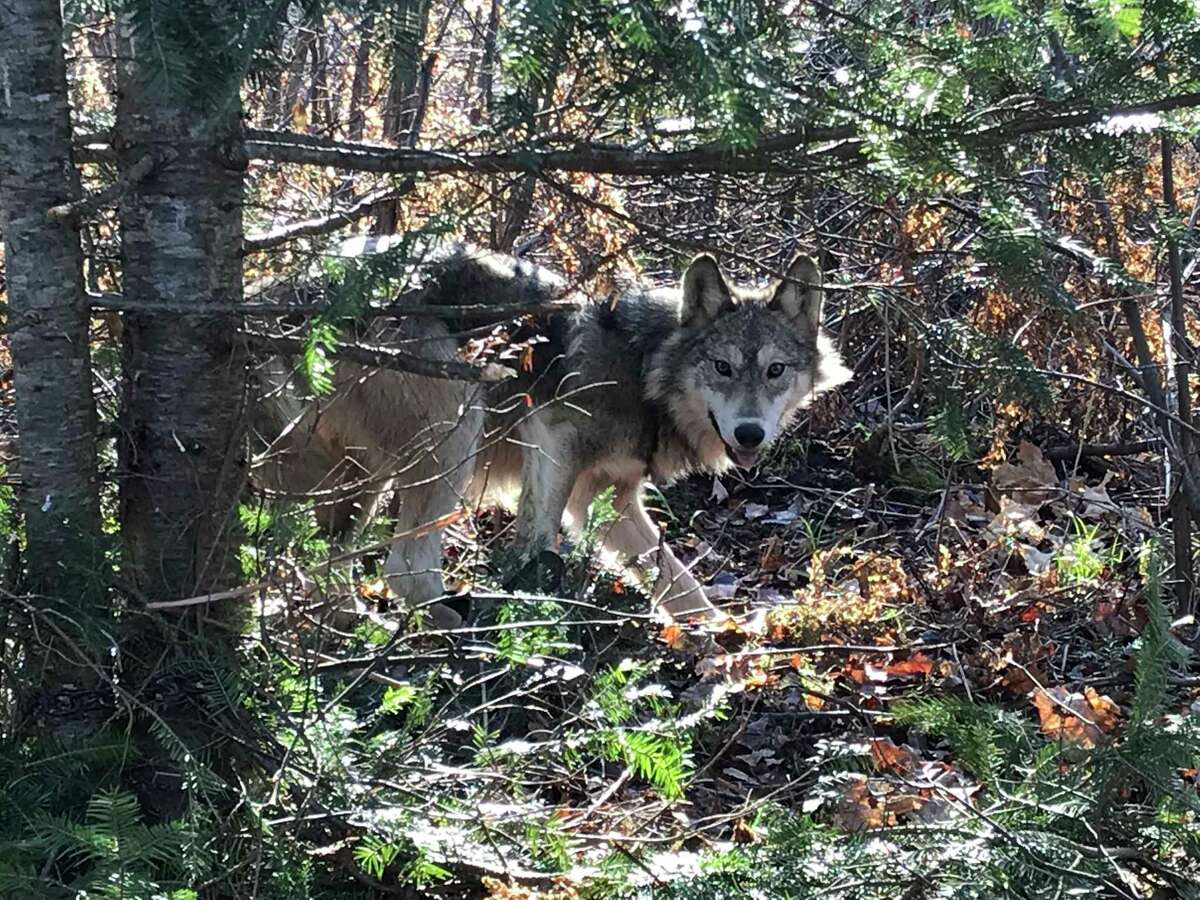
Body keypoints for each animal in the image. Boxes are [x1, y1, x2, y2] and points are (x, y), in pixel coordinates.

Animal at [253, 246, 851, 624]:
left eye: (774, 371)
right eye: (722, 368)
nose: (749, 434)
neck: (642, 367)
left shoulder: (611, 498)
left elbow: (680, 585)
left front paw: (730, 644)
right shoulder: (551, 438)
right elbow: (537, 545)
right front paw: (533, 611)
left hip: (358, 481)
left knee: (329, 567)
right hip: (457, 429)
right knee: (404, 570)